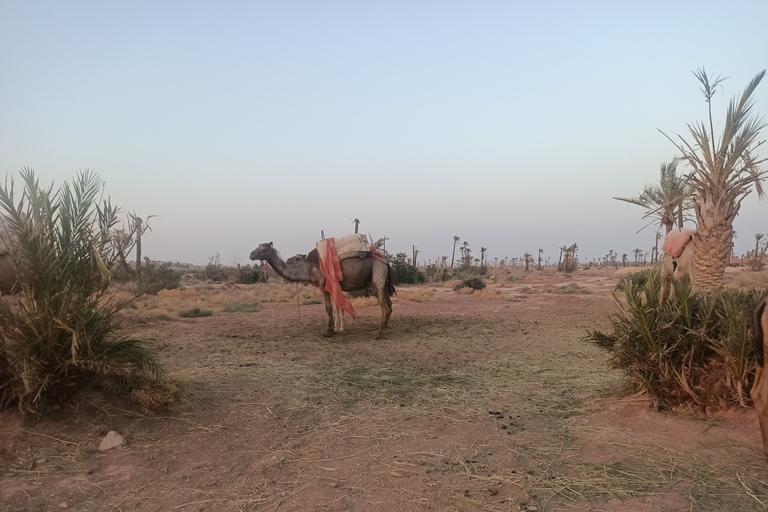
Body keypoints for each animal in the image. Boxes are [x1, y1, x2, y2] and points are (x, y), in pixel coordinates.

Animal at [250, 242, 396, 338]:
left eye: (263, 248)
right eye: (258, 246)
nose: (251, 254)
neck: (308, 268)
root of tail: (384, 260)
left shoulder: (322, 284)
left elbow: (328, 307)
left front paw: (329, 331)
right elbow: (334, 308)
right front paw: (335, 328)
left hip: (378, 273)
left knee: (385, 306)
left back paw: (377, 334)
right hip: (381, 281)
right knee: (388, 304)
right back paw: (382, 327)